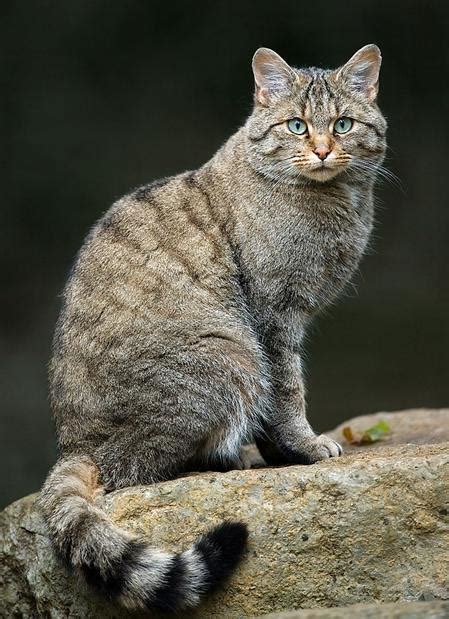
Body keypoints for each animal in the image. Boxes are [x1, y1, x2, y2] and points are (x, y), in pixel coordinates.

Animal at [40, 46, 386, 612]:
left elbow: (277, 408)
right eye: (295, 125)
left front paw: (282, 454)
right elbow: (287, 392)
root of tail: (75, 447)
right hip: (230, 358)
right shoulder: (273, 316)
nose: (321, 149)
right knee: (136, 470)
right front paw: (305, 447)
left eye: (343, 124)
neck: (333, 202)